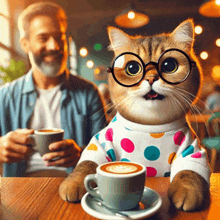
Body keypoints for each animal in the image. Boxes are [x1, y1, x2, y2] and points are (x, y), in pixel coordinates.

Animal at [59, 19, 211, 211]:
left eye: (169, 65)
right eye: (132, 68)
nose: (151, 78)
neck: (150, 126)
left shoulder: (192, 149)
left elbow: (189, 172)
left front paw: (187, 189)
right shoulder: (100, 142)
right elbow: (87, 164)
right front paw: (73, 182)